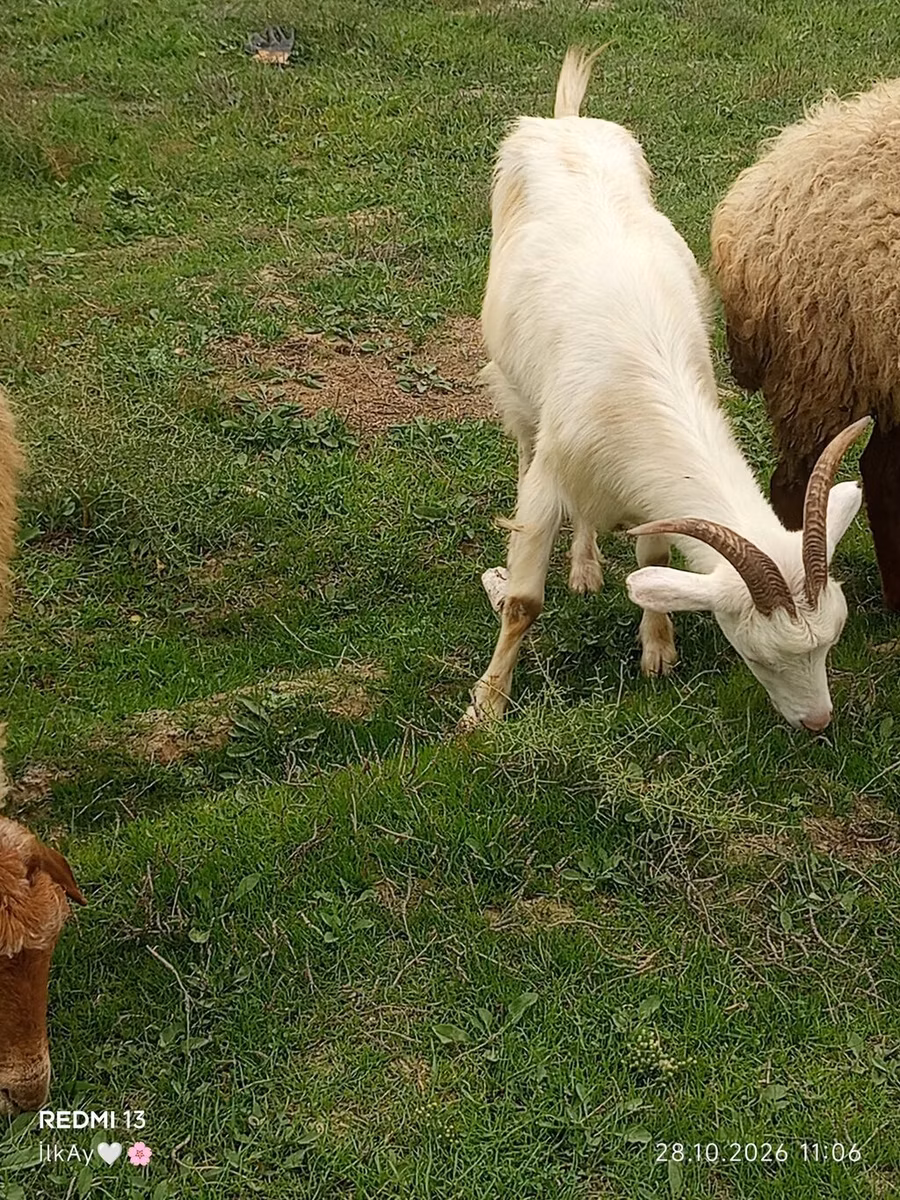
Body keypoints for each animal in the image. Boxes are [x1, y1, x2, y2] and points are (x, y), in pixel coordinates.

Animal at [466, 47, 868, 732]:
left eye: (831, 639)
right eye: (758, 654)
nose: (817, 723)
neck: (641, 384)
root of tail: (563, 123)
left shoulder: (644, 490)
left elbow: (651, 559)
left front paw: (657, 649)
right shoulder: (552, 473)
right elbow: (521, 601)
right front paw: (487, 704)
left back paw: (586, 564)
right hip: (517, 391)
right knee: (522, 442)